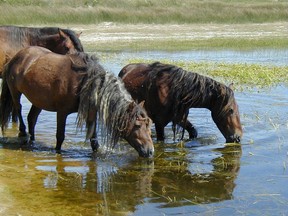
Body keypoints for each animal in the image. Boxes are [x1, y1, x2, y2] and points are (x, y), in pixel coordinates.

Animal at [0, 46, 154, 157]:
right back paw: (23, 134)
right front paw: (58, 153)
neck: (86, 83)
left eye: (148, 124)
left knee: (32, 118)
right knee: (19, 109)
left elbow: (94, 142)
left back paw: (33, 141)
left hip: (38, 100)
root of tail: (16, 57)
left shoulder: (91, 114)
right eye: (137, 125)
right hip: (15, 92)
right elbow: (60, 137)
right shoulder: (62, 112)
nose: (150, 151)